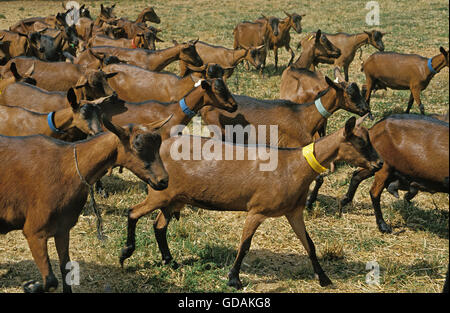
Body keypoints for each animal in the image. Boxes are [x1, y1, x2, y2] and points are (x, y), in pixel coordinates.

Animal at [0, 115, 171, 292]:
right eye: (137, 145)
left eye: (158, 144)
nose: (163, 181)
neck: (67, 168)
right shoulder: (35, 232)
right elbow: (51, 281)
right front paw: (31, 286)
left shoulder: (63, 228)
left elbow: (66, 269)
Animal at [118, 114, 380, 288]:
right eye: (359, 141)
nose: (378, 164)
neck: (293, 167)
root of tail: (164, 146)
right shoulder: (256, 210)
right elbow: (244, 245)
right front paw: (234, 279)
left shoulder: (293, 212)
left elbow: (310, 245)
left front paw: (324, 278)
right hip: (159, 193)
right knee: (133, 212)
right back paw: (126, 253)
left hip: (175, 198)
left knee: (159, 226)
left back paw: (170, 261)